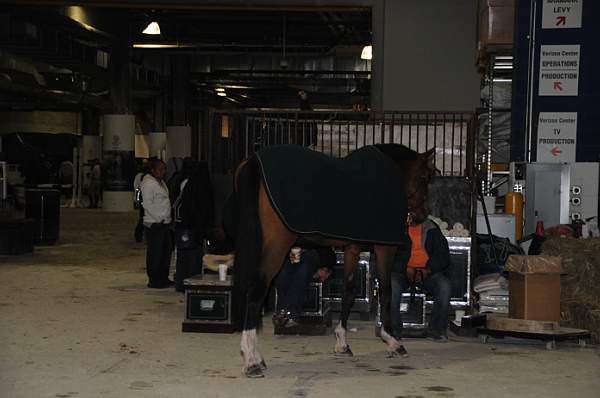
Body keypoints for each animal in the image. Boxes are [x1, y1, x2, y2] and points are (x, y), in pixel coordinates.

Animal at [225, 143, 436, 376]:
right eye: (424, 177)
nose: (422, 215)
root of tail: (254, 160)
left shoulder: (352, 247)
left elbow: (349, 292)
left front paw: (342, 343)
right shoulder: (385, 248)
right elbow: (387, 292)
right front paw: (393, 342)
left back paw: (256, 357)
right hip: (277, 245)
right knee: (257, 290)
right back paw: (251, 361)